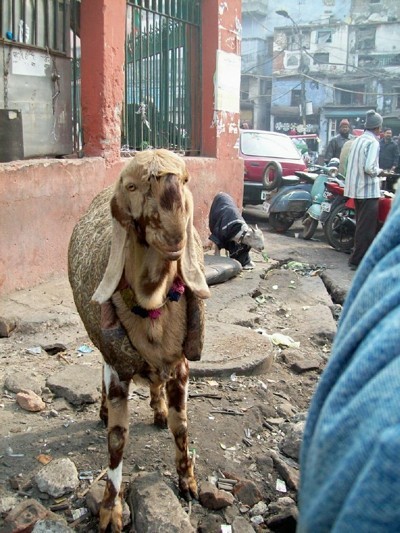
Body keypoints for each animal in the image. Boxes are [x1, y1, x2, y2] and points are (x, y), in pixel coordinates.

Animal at [67, 150, 209, 532]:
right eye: (131, 186)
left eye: (186, 180)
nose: (175, 234)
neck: (153, 299)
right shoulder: (119, 365)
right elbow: (117, 439)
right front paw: (110, 509)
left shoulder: (181, 364)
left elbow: (181, 425)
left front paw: (188, 481)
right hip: (105, 347)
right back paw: (103, 410)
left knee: (157, 385)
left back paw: (158, 409)